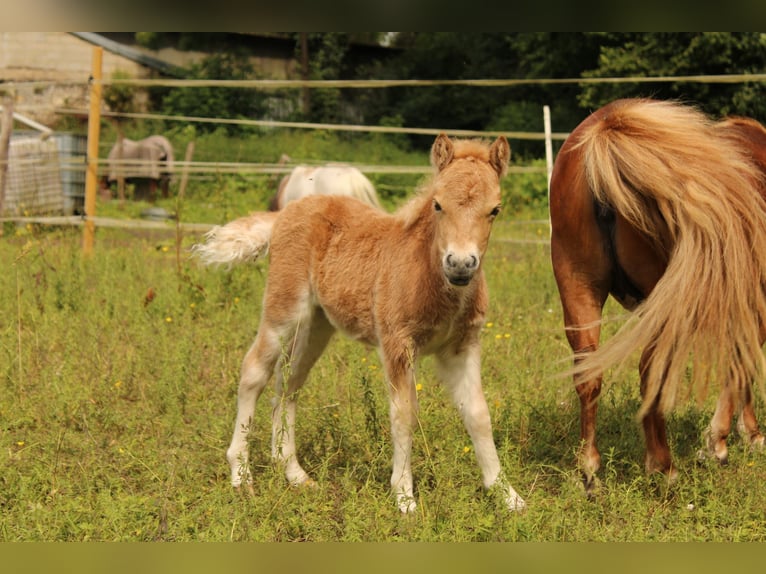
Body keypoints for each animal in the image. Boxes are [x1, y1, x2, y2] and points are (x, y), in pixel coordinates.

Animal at [195, 135, 528, 512]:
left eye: (495, 209)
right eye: (438, 205)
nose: (460, 264)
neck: (431, 277)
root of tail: (285, 213)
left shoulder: (462, 346)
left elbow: (478, 415)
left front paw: (508, 496)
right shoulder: (398, 344)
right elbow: (404, 415)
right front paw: (404, 498)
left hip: (317, 324)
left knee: (289, 381)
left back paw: (294, 473)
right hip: (284, 309)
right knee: (254, 371)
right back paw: (241, 476)